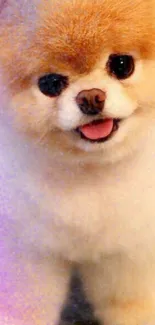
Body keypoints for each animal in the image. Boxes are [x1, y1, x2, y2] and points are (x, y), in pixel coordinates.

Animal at [0, 0, 155, 322]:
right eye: (50, 84)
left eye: (122, 65)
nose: (91, 97)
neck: (88, 174)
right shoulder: (25, 253)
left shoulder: (129, 254)